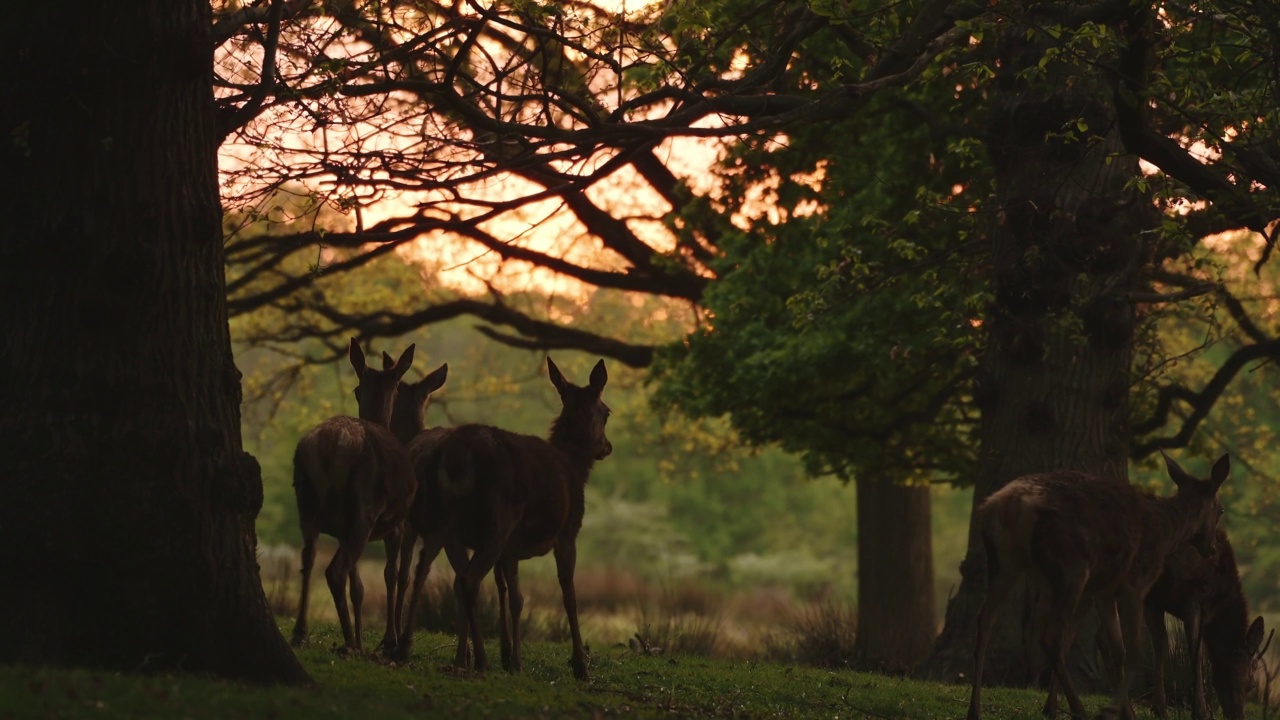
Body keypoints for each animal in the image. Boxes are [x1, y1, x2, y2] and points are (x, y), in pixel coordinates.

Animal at [289, 335, 414, 650]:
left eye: (357, 389)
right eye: (397, 388)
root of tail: (331, 446)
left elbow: (358, 585)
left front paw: (365, 636)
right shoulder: (398, 523)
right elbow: (391, 574)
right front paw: (389, 640)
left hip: (307, 502)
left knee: (308, 559)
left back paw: (302, 631)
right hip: (364, 507)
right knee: (335, 571)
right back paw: (348, 642)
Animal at [394, 356, 609, 676]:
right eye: (606, 412)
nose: (607, 447)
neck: (575, 468)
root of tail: (456, 457)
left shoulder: (511, 550)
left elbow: (514, 597)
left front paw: (513, 659)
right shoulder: (567, 532)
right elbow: (568, 594)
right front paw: (580, 666)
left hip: (447, 524)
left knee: (437, 574)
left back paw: (425, 650)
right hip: (496, 522)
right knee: (467, 581)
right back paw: (477, 660)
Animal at [967, 453, 1228, 717]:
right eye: (1221, 510)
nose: (1212, 548)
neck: (1167, 532)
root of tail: (1010, 507)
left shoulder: (1104, 591)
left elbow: (1117, 649)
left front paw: (1125, 712)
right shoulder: (1135, 584)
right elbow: (1135, 651)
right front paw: (1116, 710)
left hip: (1003, 561)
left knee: (985, 620)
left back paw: (975, 710)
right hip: (1071, 567)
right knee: (1052, 637)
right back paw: (1079, 711)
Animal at [1146, 527, 1264, 717]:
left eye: (1251, 686)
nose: (1238, 715)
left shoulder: (1154, 599)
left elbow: (1160, 644)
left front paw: (1159, 707)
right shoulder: (1193, 600)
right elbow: (1196, 653)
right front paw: (1201, 711)